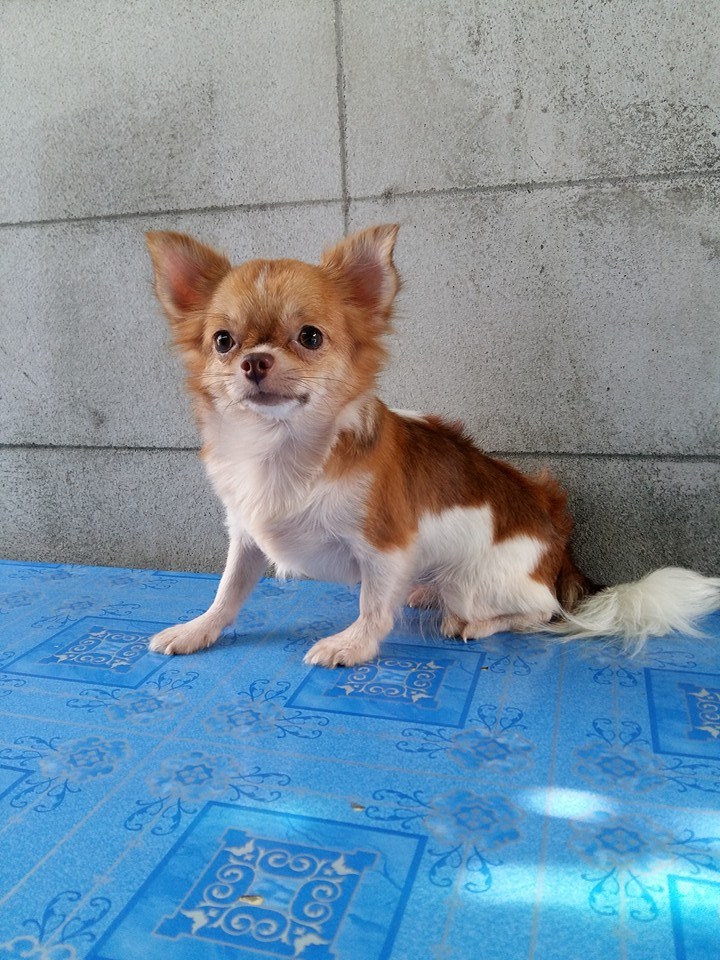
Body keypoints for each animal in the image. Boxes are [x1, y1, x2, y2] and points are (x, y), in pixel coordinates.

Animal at [145, 224, 720, 667]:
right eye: (223, 341)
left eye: (310, 337)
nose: (254, 361)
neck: (281, 448)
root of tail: (558, 544)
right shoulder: (246, 537)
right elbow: (227, 592)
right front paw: (197, 630)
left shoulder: (386, 546)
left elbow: (373, 605)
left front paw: (351, 646)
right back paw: (424, 592)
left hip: (476, 581)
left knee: (542, 611)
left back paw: (471, 623)